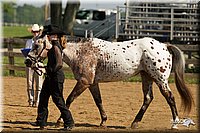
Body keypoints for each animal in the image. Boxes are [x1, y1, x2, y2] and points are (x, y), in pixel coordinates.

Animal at [26, 36, 194, 129]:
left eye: (37, 45)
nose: (28, 61)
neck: (80, 53)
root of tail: (164, 46)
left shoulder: (84, 82)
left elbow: (68, 99)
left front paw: (60, 121)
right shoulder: (92, 83)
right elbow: (98, 101)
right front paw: (103, 121)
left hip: (160, 79)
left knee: (170, 98)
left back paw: (175, 124)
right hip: (146, 77)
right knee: (148, 98)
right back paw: (135, 123)